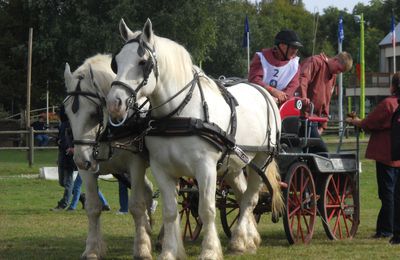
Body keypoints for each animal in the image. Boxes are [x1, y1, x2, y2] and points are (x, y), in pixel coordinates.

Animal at [63, 53, 154, 258]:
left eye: (93, 113)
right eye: (66, 113)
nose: (79, 160)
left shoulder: (136, 164)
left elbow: (136, 206)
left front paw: (142, 249)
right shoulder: (87, 170)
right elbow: (93, 207)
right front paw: (92, 249)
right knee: (149, 191)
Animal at [105, 19, 282, 258]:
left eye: (143, 62)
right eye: (116, 63)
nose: (114, 104)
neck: (179, 113)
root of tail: (262, 91)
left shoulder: (205, 168)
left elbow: (206, 210)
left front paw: (210, 251)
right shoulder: (161, 169)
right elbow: (171, 211)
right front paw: (169, 252)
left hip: (261, 160)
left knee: (250, 199)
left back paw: (238, 241)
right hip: (233, 164)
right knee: (242, 195)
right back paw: (247, 239)